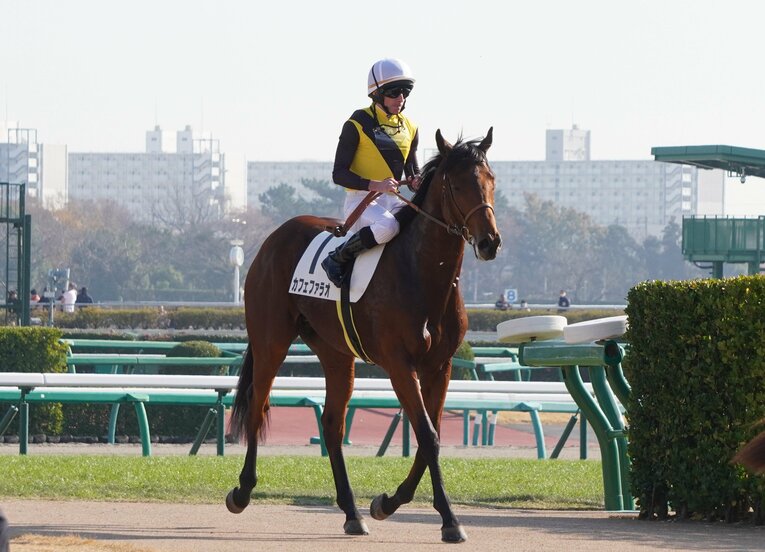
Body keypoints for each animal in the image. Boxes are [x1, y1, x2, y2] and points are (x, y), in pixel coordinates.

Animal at [226, 128, 502, 543]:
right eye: (456, 185)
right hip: (271, 341)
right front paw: (450, 520)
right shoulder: (400, 365)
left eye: (491, 180)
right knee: (258, 407)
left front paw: (388, 502)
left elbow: (431, 436)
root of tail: (273, 238)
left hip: (336, 354)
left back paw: (352, 513)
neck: (421, 273)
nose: (490, 242)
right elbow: (427, 435)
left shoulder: (440, 366)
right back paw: (242, 492)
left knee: (332, 424)